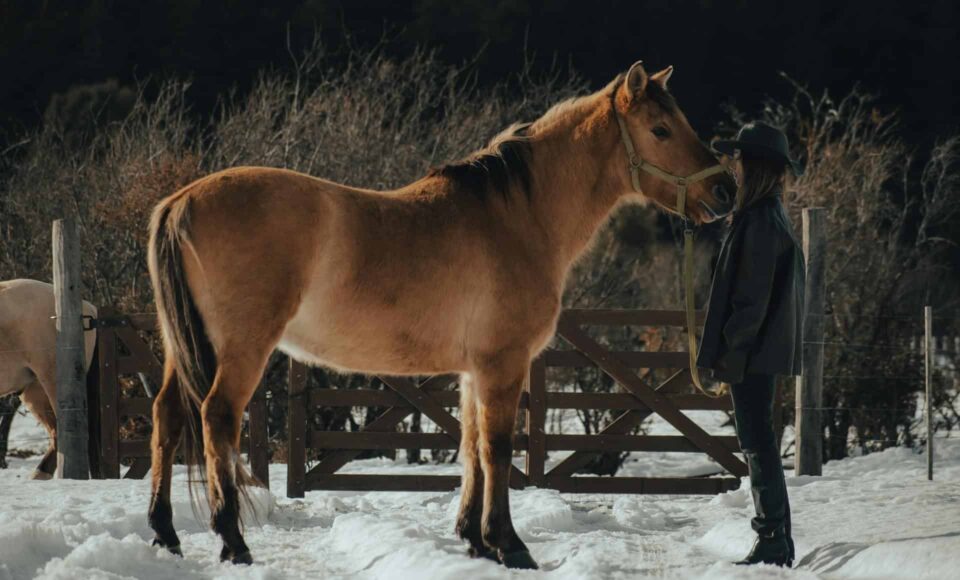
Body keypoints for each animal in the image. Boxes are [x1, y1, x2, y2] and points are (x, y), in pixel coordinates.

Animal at [148, 62, 736, 568]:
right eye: (660, 129)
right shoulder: (504, 364)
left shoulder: (474, 370)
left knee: (168, 416)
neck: (516, 218)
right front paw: (509, 544)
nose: (725, 190)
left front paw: (473, 539)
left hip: (182, 348)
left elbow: (471, 444)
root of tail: (181, 201)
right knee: (217, 418)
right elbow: (497, 448)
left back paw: (166, 534)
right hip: (243, 349)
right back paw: (233, 542)